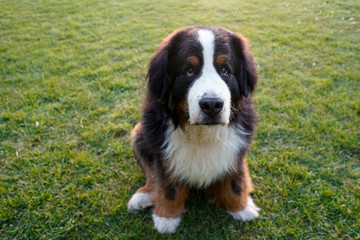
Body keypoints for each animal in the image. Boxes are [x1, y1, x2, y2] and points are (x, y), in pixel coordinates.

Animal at [126, 25, 258, 232]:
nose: (211, 105)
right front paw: (167, 217)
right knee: (151, 175)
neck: (201, 133)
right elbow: (168, 186)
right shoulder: (163, 151)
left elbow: (235, 181)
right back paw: (144, 195)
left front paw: (241, 207)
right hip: (139, 133)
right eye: (189, 71)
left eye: (225, 70)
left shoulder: (237, 150)